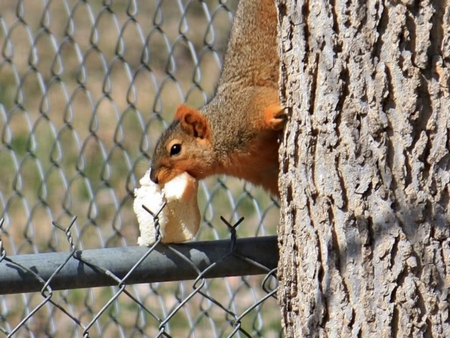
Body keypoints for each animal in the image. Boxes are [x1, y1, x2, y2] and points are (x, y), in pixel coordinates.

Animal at [150, 0, 284, 197]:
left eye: (175, 149)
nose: (153, 178)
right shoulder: (264, 170)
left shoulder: (244, 106)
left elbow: (264, 101)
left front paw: (275, 115)